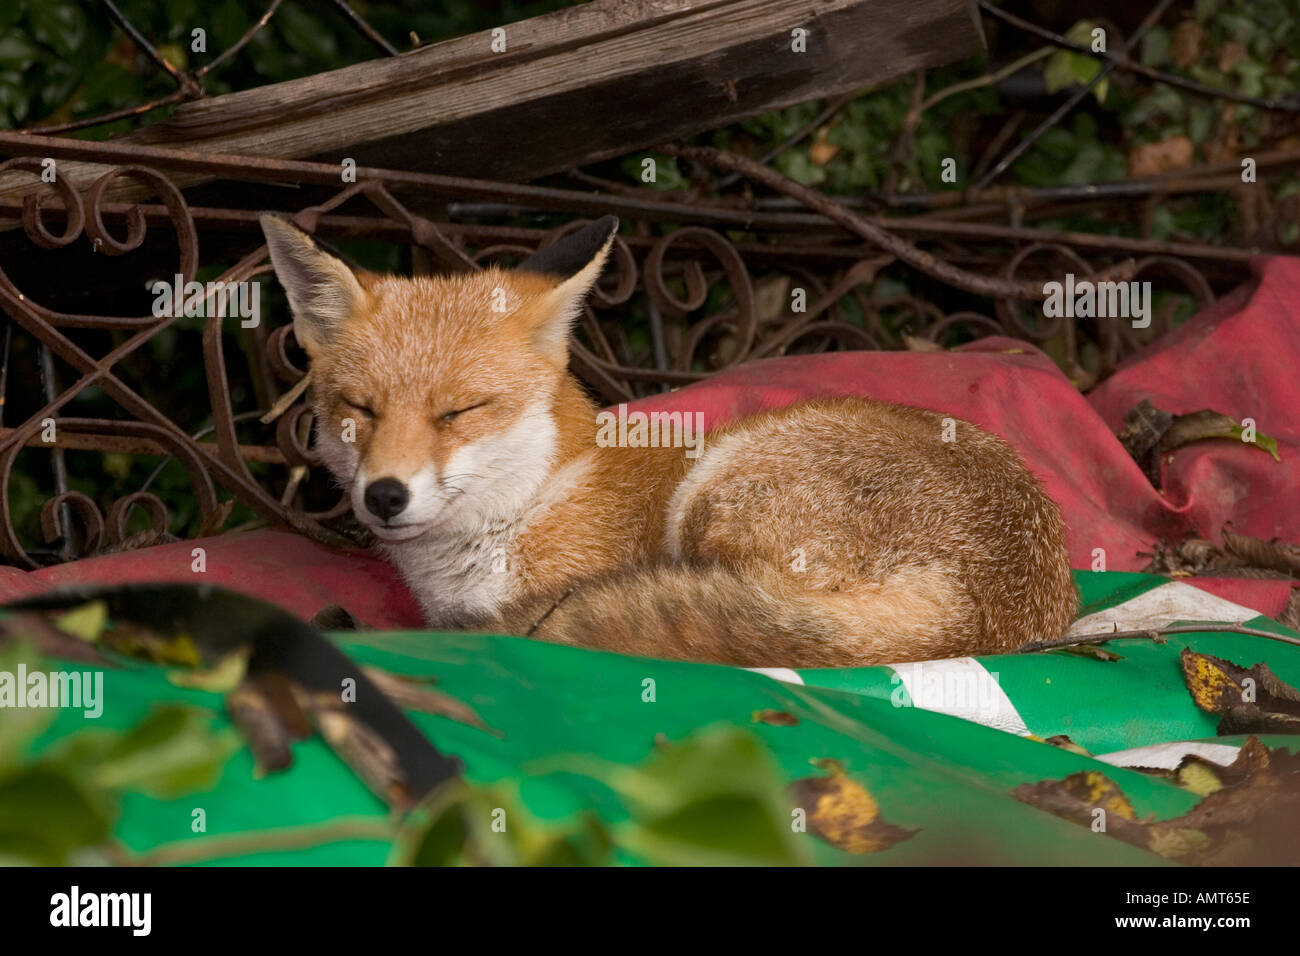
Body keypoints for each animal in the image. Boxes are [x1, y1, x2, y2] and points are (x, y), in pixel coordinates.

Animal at [260, 214, 1077, 668]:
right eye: (359, 408)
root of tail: (977, 614)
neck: (529, 501)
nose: (384, 496)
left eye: (461, 411)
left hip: (717, 485)